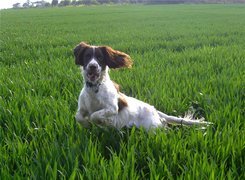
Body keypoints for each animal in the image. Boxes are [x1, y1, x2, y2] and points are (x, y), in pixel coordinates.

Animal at [72, 41, 211, 130]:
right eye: (87, 56)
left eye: (100, 57)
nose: (93, 66)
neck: (94, 88)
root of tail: (155, 110)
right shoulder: (82, 108)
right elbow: (78, 116)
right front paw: (86, 124)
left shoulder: (112, 108)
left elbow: (95, 115)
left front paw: (99, 122)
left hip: (152, 127)